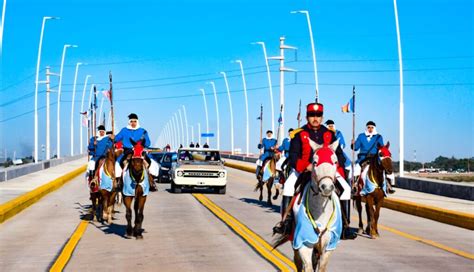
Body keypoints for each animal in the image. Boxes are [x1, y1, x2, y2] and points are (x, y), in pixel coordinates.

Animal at [274, 131, 340, 270]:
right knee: (298, 263)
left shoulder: (328, 247)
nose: (327, 187)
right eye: (314, 162)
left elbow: (321, 267)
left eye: (335, 161)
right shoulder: (303, 243)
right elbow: (307, 267)